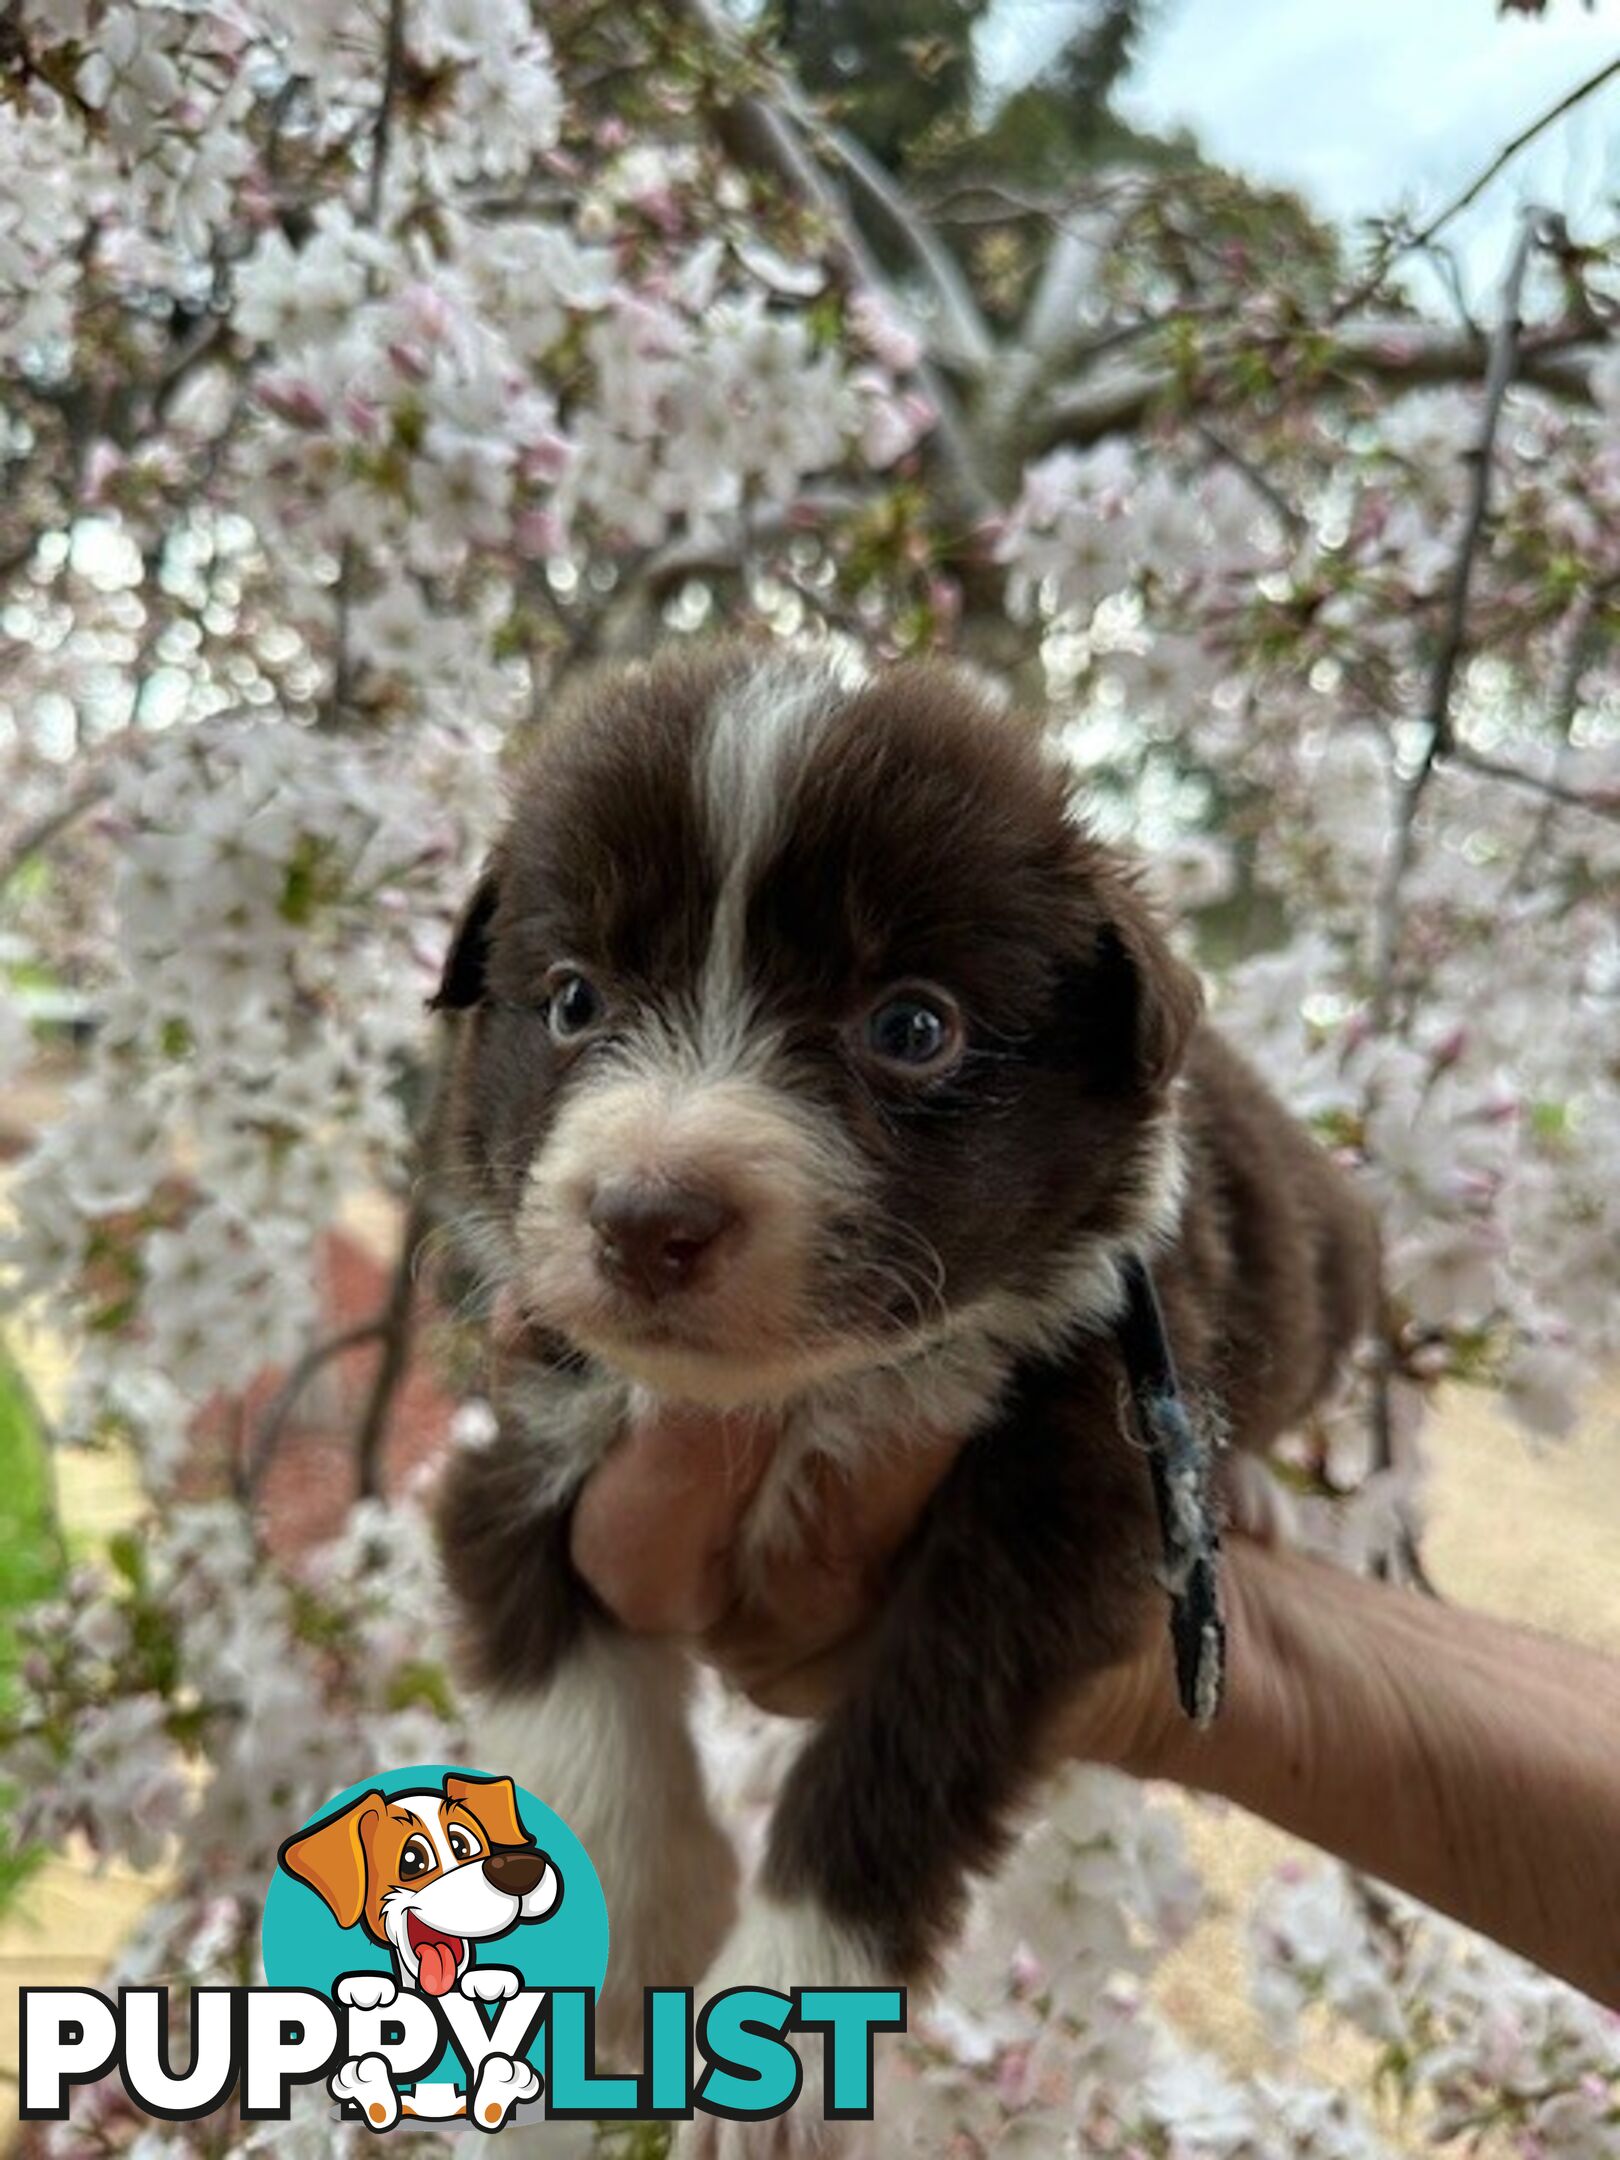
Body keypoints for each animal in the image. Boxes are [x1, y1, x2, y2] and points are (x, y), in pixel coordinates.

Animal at [432, 635, 1382, 2142]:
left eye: (913, 1026)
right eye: (575, 999)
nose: (647, 1219)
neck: (801, 1395)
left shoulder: (1061, 1496)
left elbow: (902, 1751)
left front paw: (779, 2030)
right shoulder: (523, 1418)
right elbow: (559, 1687)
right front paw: (621, 1948)